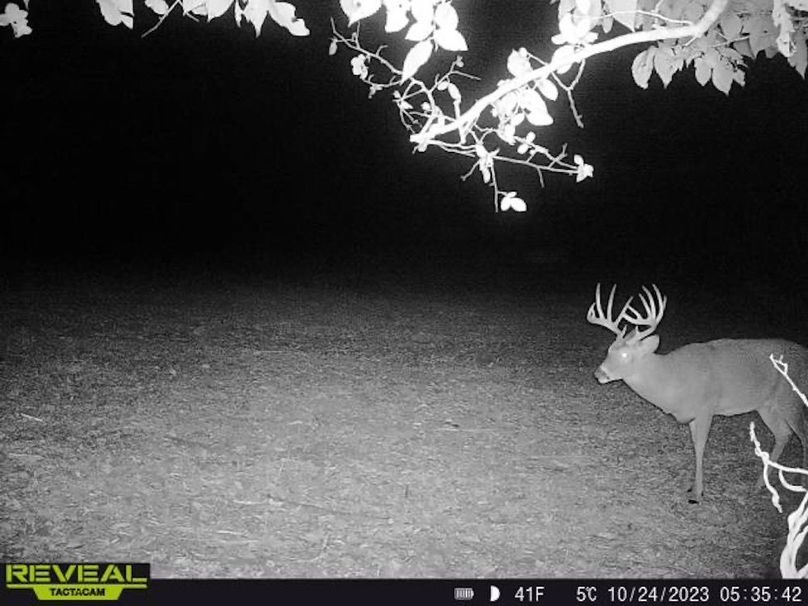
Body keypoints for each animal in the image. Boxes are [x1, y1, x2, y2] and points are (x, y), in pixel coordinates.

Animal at [587, 283, 808, 503]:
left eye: (625, 354)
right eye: (609, 349)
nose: (598, 373)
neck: (673, 379)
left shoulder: (706, 408)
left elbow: (700, 446)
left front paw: (697, 493)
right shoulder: (693, 414)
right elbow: (695, 446)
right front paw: (693, 487)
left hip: (792, 398)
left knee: (802, 435)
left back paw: (801, 485)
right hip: (767, 405)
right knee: (783, 434)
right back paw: (760, 484)